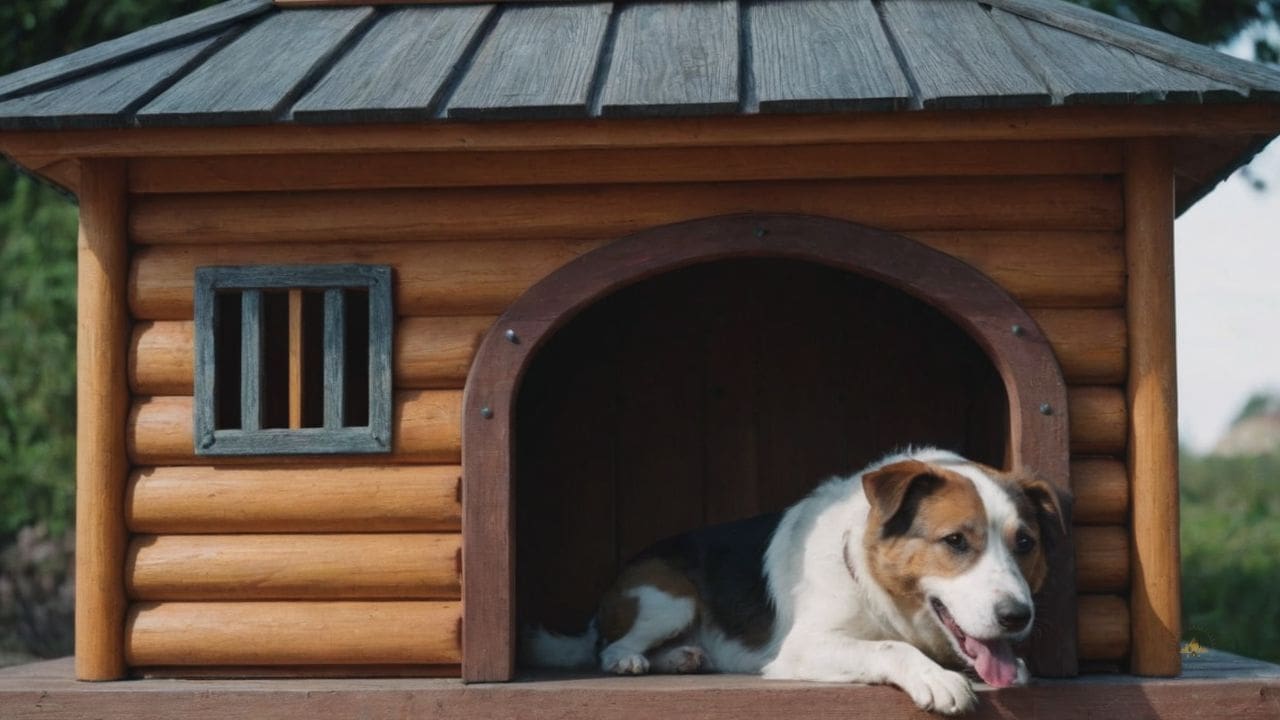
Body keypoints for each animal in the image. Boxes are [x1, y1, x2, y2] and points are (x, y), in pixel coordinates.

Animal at [522, 448, 1070, 712]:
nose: (1017, 616)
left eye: (1026, 543)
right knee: (610, 647)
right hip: (668, 597)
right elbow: (889, 647)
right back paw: (633, 659)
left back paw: (683, 658)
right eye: (955, 541)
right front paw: (936, 678)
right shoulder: (805, 647)